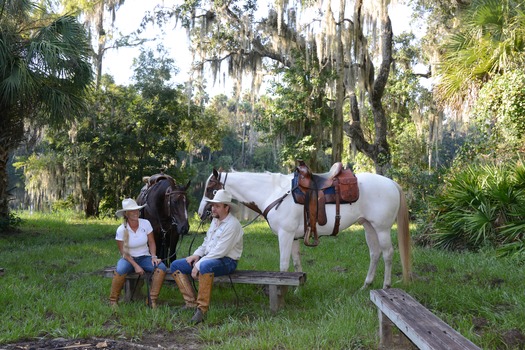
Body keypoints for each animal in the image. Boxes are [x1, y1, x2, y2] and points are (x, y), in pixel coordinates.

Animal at [196, 168, 410, 288]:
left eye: (210, 189)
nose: (201, 212)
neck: (273, 193)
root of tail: (392, 183)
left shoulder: (285, 235)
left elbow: (283, 266)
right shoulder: (294, 237)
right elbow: (297, 265)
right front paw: (298, 289)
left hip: (381, 228)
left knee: (388, 254)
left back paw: (386, 285)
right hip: (368, 226)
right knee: (375, 253)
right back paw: (366, 285)